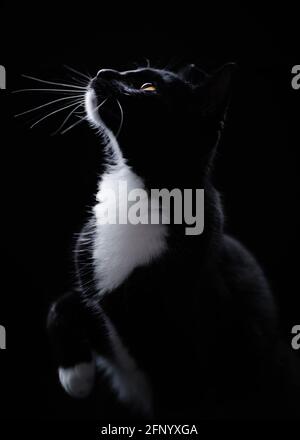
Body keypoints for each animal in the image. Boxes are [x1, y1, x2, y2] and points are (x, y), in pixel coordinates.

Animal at [47, 63, 282, 418]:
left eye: (149, 88)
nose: (103, 71)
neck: (139, 192)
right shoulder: (104, 305)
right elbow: (65, 302)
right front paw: (76, 374)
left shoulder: (180, 360)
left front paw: (75, 376)